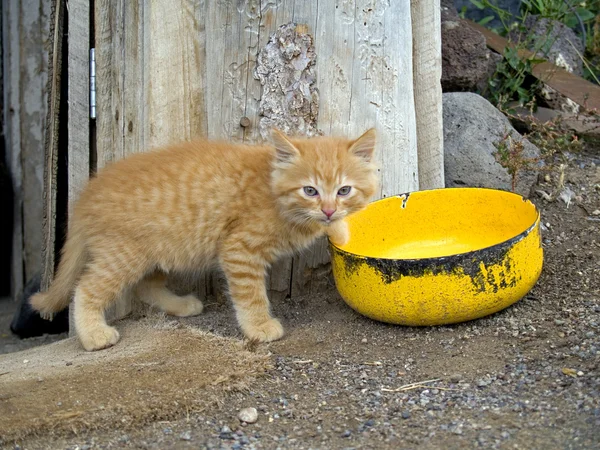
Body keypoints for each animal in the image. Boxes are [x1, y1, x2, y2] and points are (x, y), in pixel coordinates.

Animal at [30, 128, 378, 350]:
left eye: (343, 190)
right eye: (310, 190)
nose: (329, 209)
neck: (272, 190)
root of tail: (87, 194)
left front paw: (342, 228)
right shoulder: (239, 250)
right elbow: (250, 295)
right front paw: (259, 326)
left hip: (160, 250)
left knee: (145, 286)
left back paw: (181, 305)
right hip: (123, 255)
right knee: (86, 288)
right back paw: (93, 335)